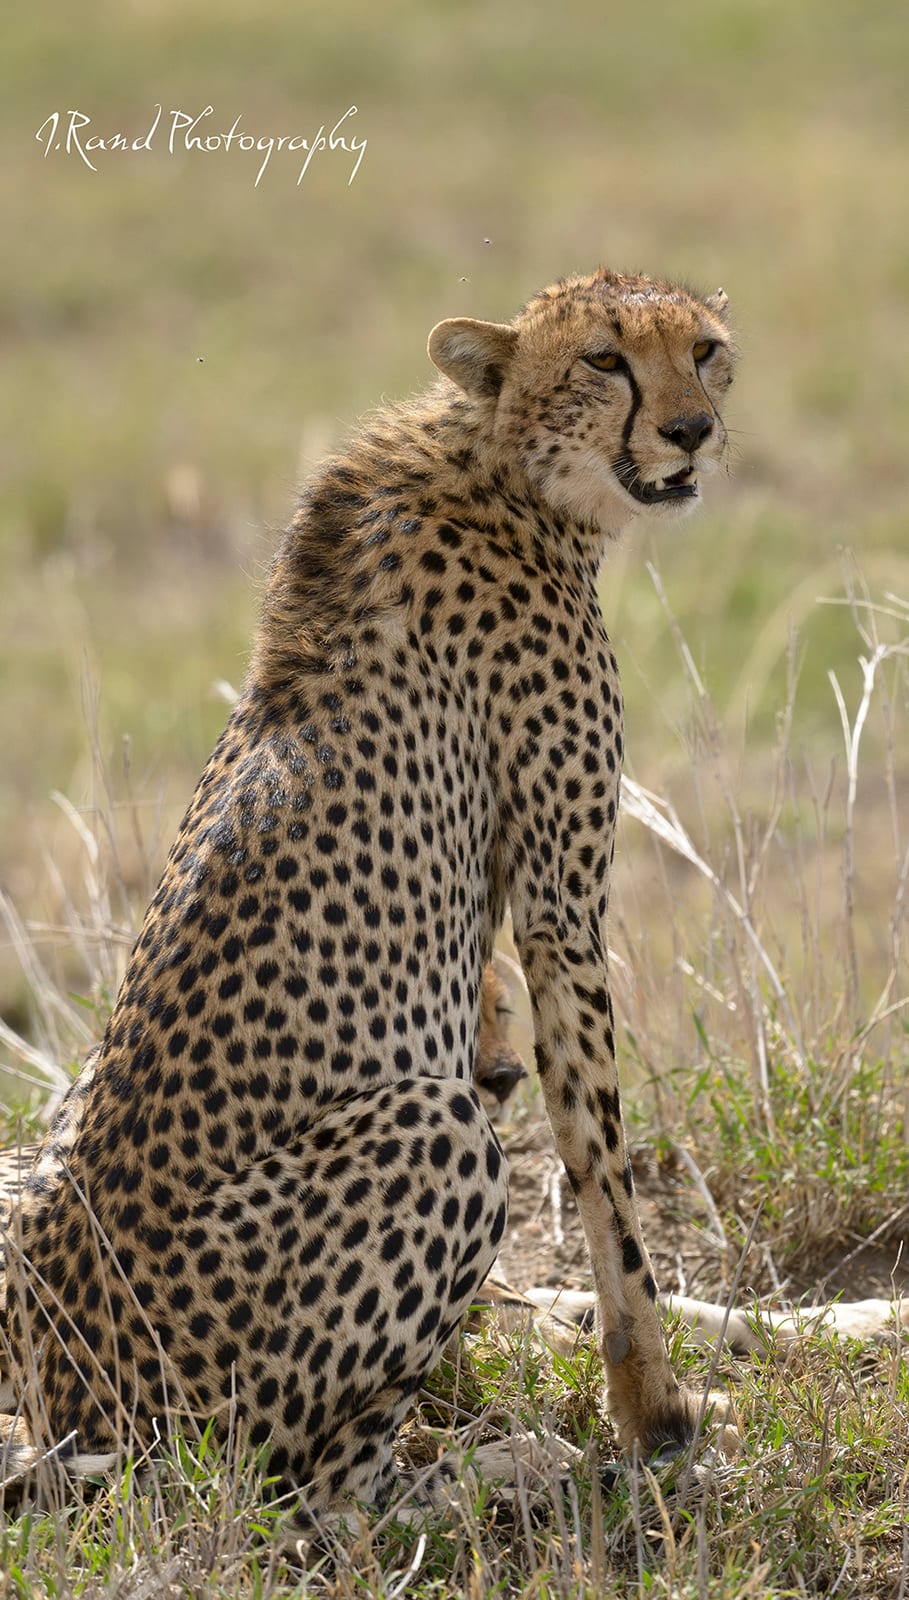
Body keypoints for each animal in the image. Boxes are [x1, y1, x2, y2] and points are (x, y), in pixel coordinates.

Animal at [0, 265, 738, 1519]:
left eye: (705, 347)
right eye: (604, 359)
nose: (691, 429)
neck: (502, 462)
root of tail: (72, 1419)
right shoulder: (561, 901)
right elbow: (601, 1161)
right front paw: (657, 1412)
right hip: (419, 1152)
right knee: (312, 1500)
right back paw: (499, 1469)